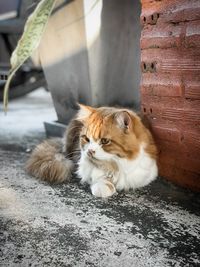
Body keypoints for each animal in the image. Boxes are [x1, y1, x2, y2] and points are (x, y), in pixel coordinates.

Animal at [26, 104, 158, 199]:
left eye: (104, 141)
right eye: (86, 139)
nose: (89, 151)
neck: (116, 165)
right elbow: (98, 177)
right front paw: (104, 186)